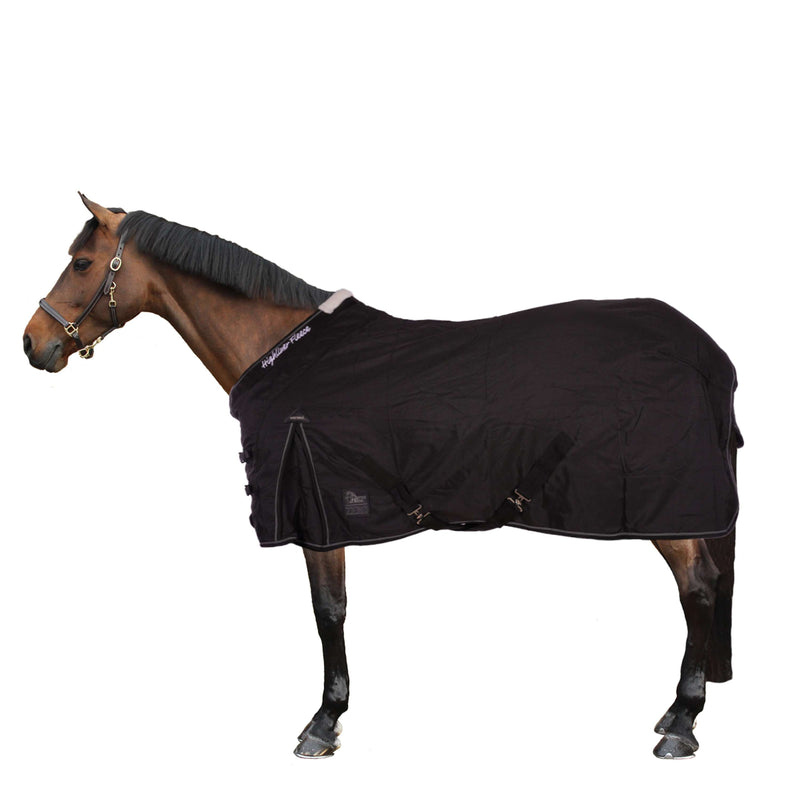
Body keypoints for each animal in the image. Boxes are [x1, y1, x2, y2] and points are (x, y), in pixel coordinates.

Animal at [23, 194, 741, 760]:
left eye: (82, 263)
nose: (33, 343)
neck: (284, 353)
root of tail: (702, 348)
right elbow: (333, 610)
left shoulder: (317, 510)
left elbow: (328, 611)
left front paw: (323, 722)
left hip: (666, 502)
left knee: (698, 587)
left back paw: (682, 721)